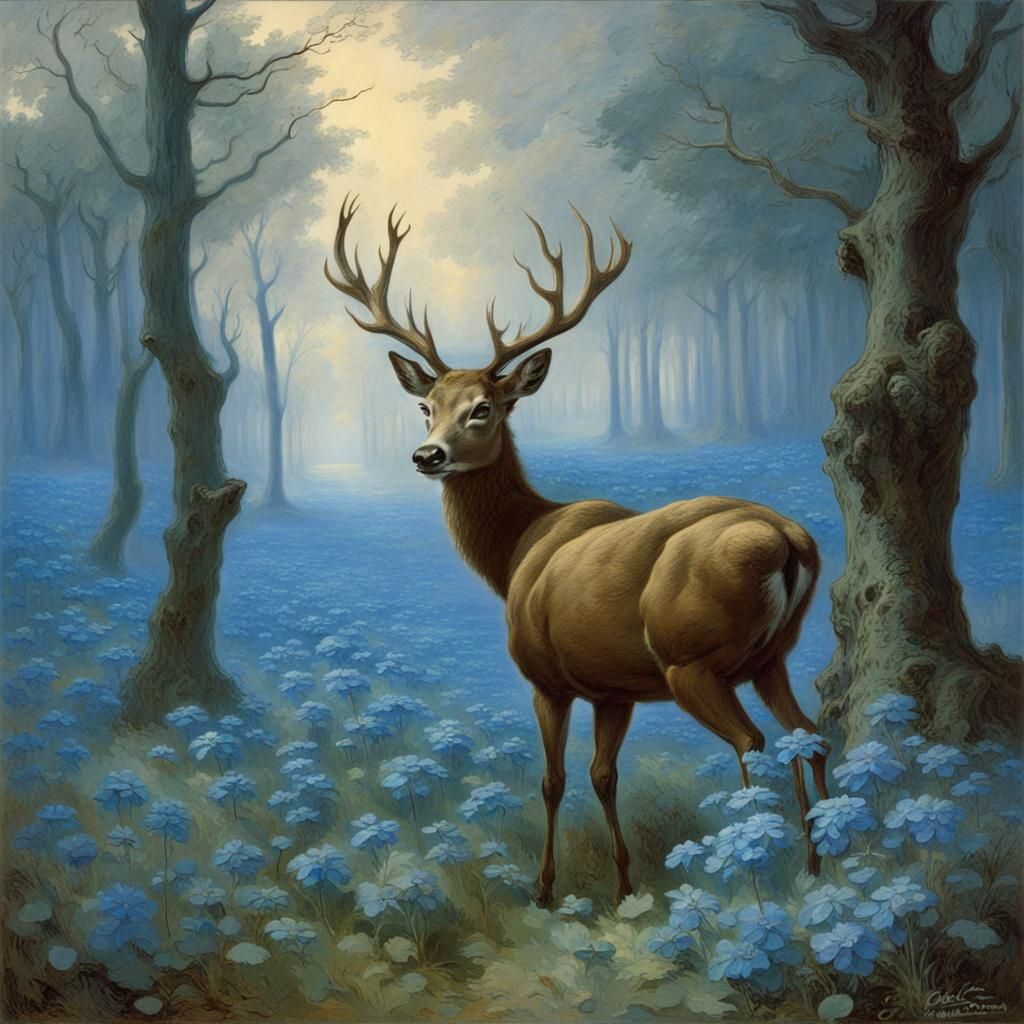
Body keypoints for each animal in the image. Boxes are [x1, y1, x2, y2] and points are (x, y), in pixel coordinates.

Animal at [325, 194, 830, 906]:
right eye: (426, 406)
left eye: (483, 408)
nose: (427, 455)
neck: (514, 553)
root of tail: (790, 541)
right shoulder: (613, 688)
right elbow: (602, 775)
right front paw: (622, 886)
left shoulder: (547, 677)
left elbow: (554, 780)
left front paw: (543, 888)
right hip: (771, 656)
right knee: (809, 737)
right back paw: (819, 862)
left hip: (692, 658)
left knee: (754, 742)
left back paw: (757, 877)